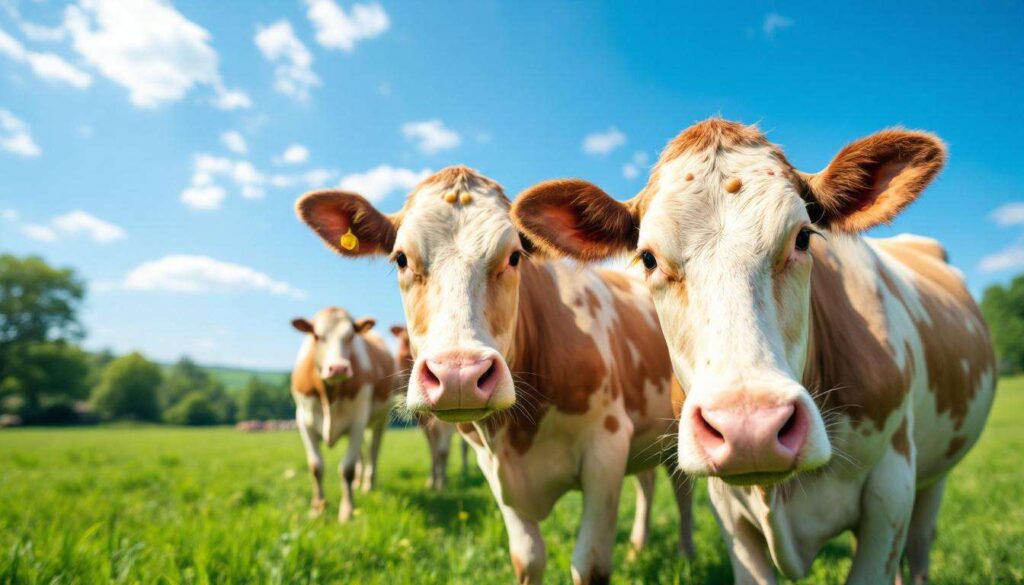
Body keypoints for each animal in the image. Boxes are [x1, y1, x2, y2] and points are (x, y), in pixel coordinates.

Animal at [290, 307, 397, 522]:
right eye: (317, 336)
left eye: (351, 336)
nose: (339, 368)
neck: (329, 394)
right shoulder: (303, 421)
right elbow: (316, 467)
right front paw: (318, 508)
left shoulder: (358, 421)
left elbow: (347, 469)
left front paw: (347, 511)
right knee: (362, 454)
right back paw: (357, 484)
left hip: (380, 420)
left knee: (373, 451)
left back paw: (368, 484)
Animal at [391, 324, 469, 490]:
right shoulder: (424, 422)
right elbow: (433, 450)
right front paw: (432, 481)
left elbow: (442, 451)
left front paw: (441, 483)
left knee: (463, 447)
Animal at [511, 118, 996, 584]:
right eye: (647, 258)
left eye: (803, 238)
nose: (751, 429)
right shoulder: (729, 510)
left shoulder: (891, 489)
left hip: (933, 476)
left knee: (919, 544)